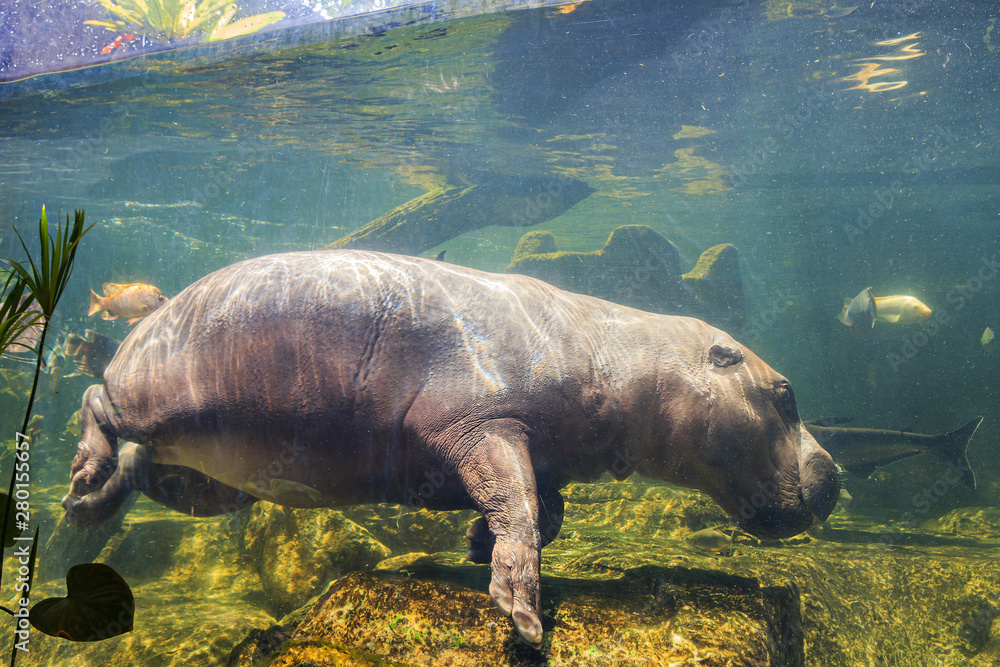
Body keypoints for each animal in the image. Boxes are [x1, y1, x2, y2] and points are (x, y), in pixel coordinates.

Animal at [62, 250, 839, 648]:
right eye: (786, 394)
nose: (835, 474)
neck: (623, 356)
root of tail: (148, 322)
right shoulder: (482, 423)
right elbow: (518, 502)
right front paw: (524, 618)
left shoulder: (538, 453)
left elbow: (540, 506)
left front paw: (473, 544)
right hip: (157, 393)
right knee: (97, 403)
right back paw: (78, 482)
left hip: (213, 473)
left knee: (145, 465)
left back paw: (89, 504)